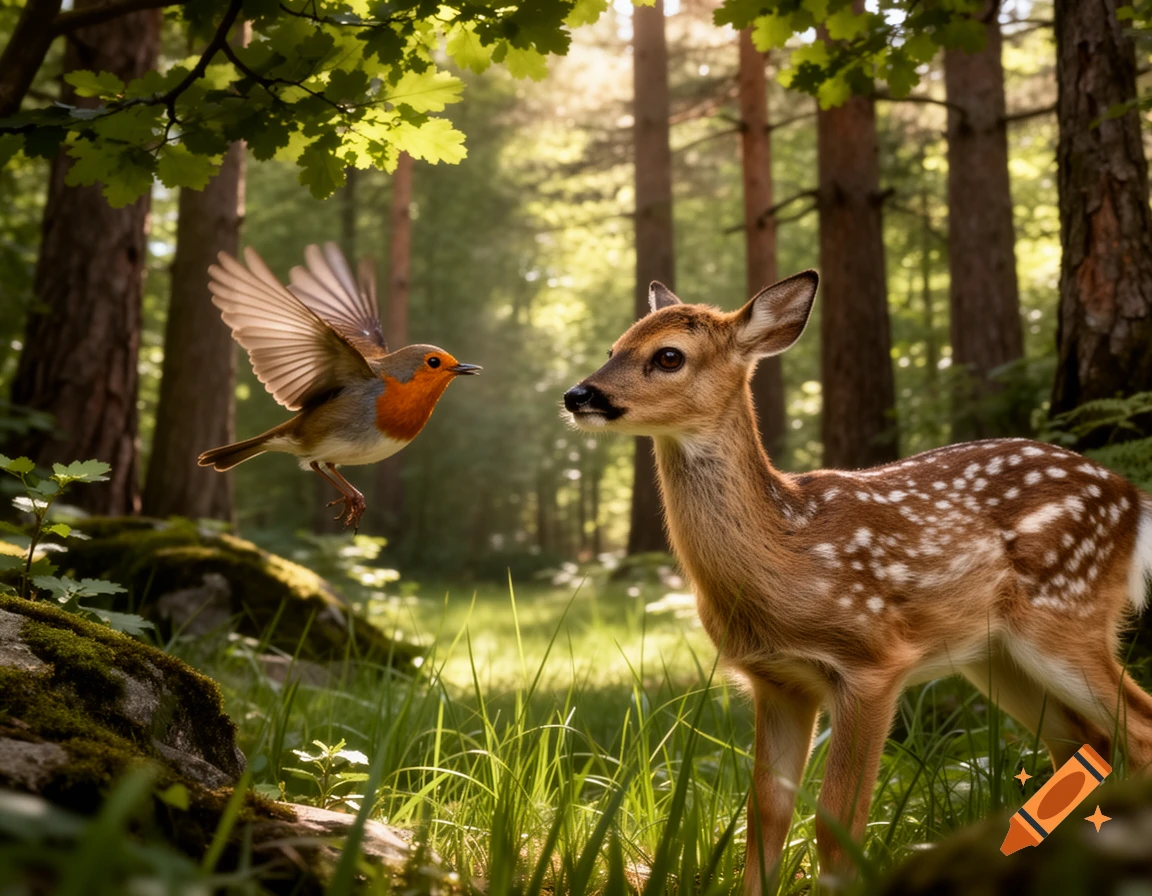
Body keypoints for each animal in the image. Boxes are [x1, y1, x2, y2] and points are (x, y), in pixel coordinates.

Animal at [562, 271, 1152, 893]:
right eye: (614, 348)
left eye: (668, 355)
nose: (578, 395)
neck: (786, 552)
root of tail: (1132, 497)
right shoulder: (776, 681)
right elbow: (765, 815)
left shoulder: (872, 661)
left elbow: (837, 823)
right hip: (995, 656)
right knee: (1085, 742)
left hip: (1067, 614)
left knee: (1137, 727)